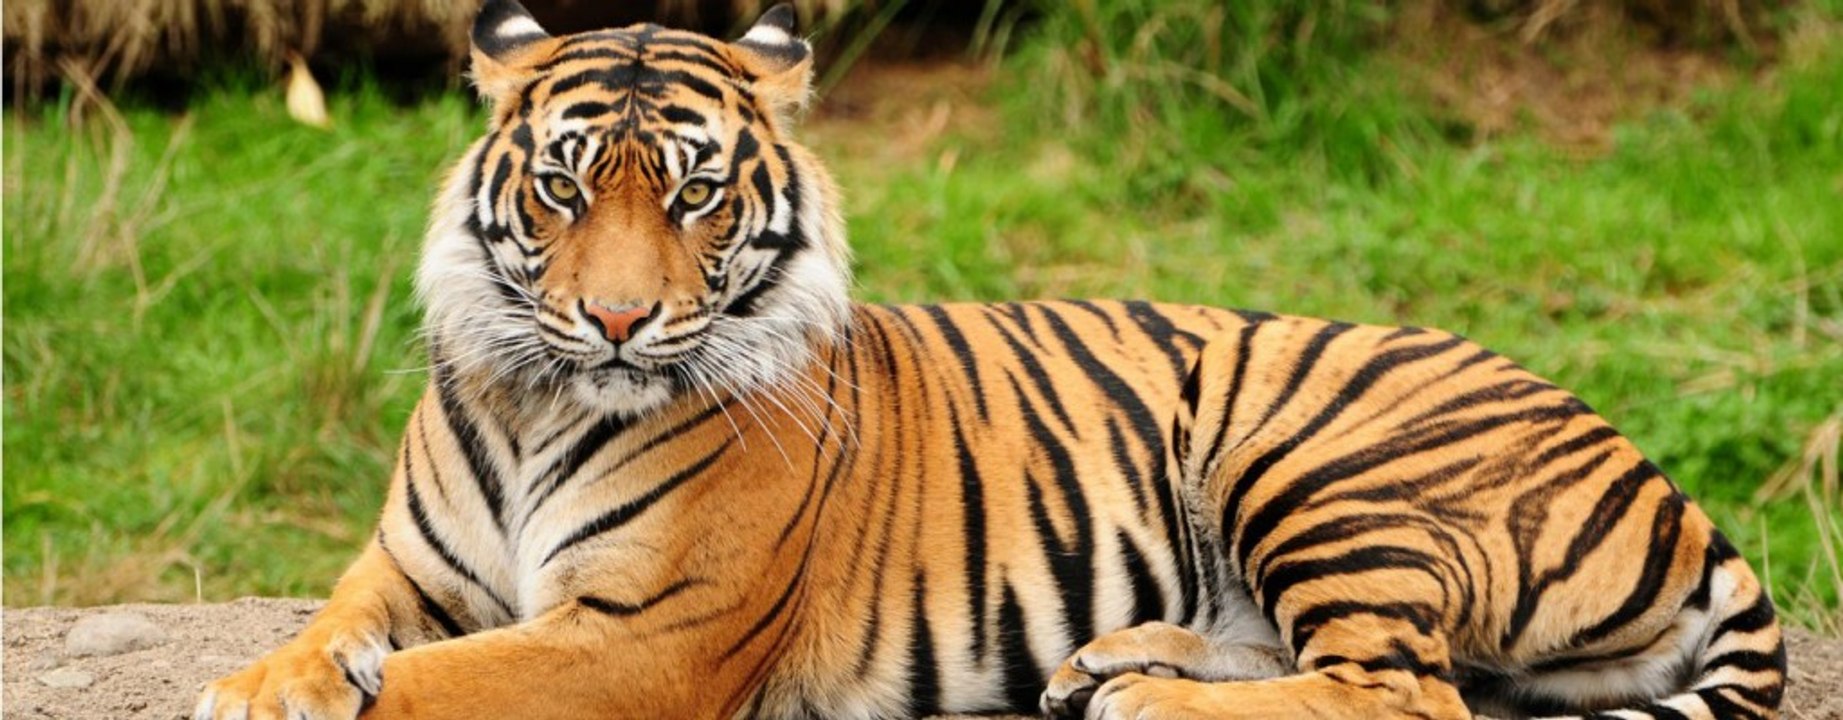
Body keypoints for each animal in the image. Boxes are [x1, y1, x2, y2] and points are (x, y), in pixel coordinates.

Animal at [194, 2, 1787, 719]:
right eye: (563, 190)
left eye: (695, 195)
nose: (619, 323)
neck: (538, 399)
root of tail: (1667, 483)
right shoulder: (405, 568)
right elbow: (328, 632)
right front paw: (264, 685)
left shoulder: (646, 636)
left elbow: (428, 687)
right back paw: (1116, 659)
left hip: (1310, 453)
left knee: (1398, 691)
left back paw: (1146, 699)